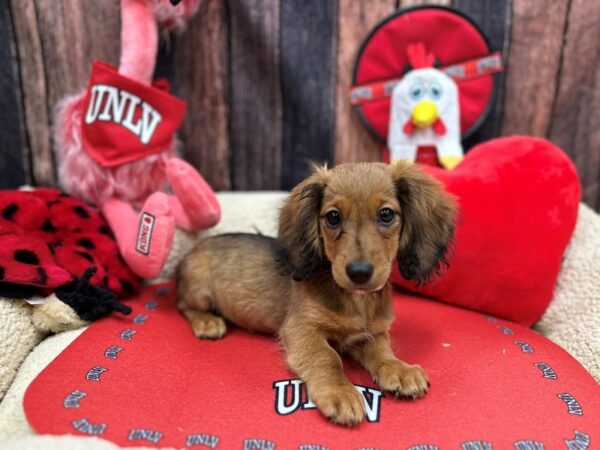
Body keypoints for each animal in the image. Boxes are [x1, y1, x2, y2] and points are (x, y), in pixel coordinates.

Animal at [177, 162, 454, 426]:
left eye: (386, 214)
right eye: (333, 217)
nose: (359, 272)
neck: (356, 299)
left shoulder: (370, 334)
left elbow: (383, 353)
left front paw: (400, 369)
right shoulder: (300, 329)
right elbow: (327, 357)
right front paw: (340, 391)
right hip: (199, 286)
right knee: (183, 304)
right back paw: (207, 321)